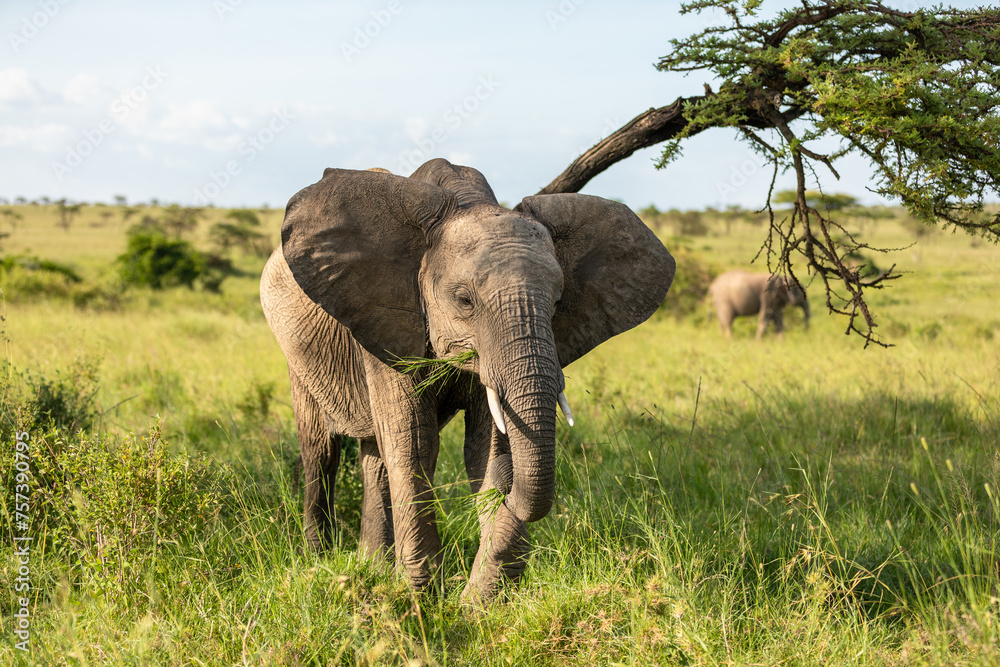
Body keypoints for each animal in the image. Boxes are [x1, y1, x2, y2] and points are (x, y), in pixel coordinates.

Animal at [260, 158, 675, 602]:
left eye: (559, 302)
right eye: (464, 300)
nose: (509, 497)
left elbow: (487, 448)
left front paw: (476, 603)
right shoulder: (390, 320)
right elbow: (415, 444)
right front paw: (424, 598)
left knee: (375, 457)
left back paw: (372, 566)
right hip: (295, 350)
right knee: (321, 450)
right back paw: (320, 558)